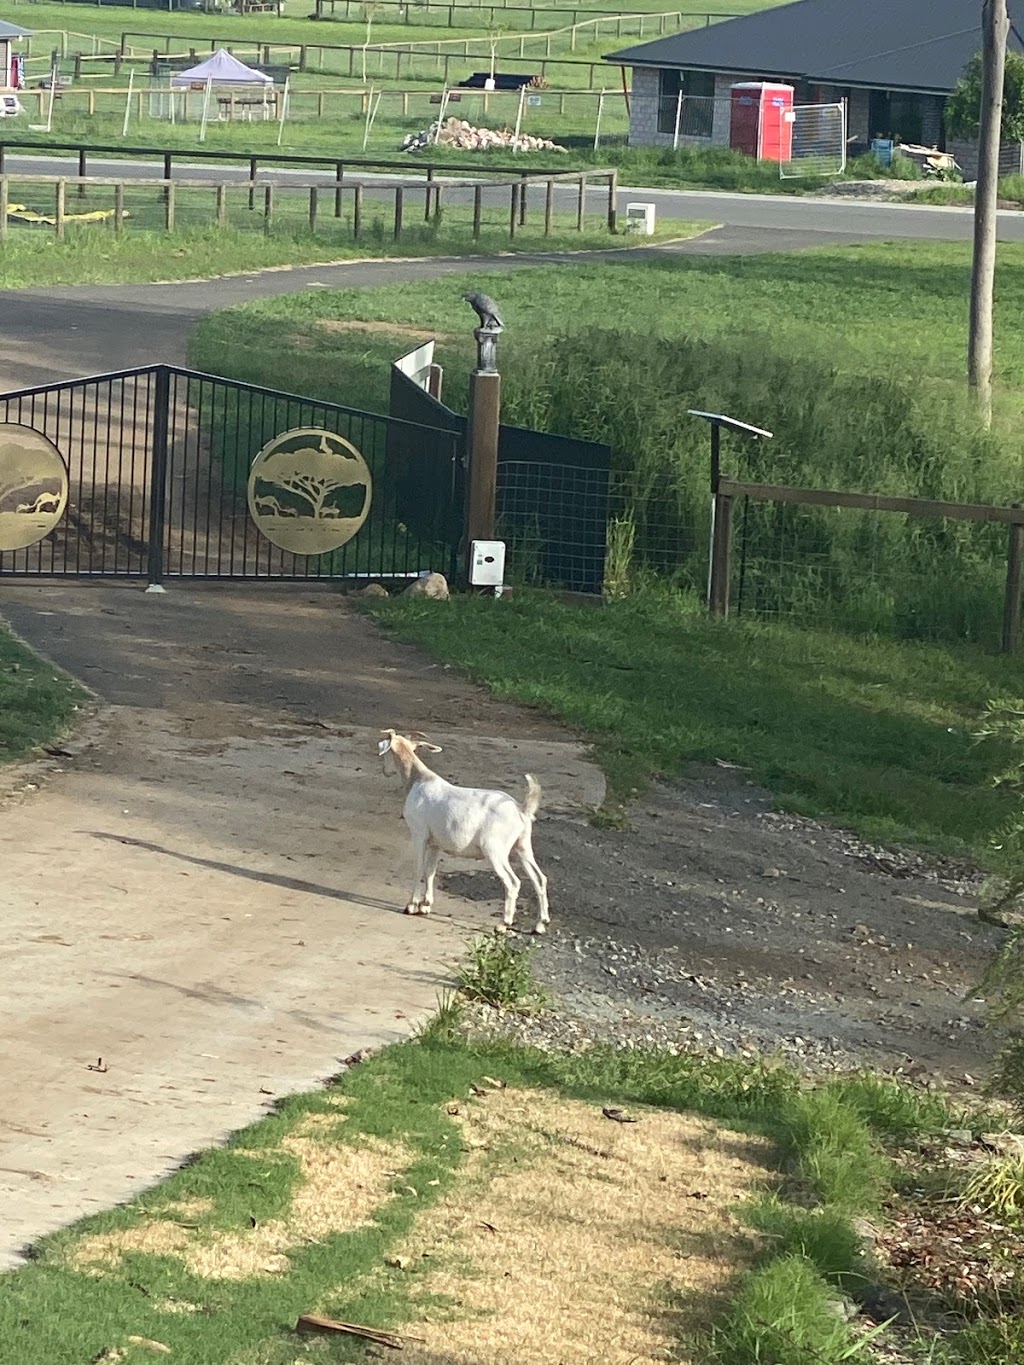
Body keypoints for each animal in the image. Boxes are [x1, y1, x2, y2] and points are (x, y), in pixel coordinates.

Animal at [379, 726, 554, 939]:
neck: (418, 779)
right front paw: (426, 905)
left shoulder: (419, 835)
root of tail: (521, 809)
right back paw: (540, 924)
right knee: (540, 879)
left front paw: (412, 906)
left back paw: (503, 924)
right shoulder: (436, 842)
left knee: (513, 883)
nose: (385, 771)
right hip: (523, 847)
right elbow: (430, 871)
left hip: (495, 851)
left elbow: (419, 868)